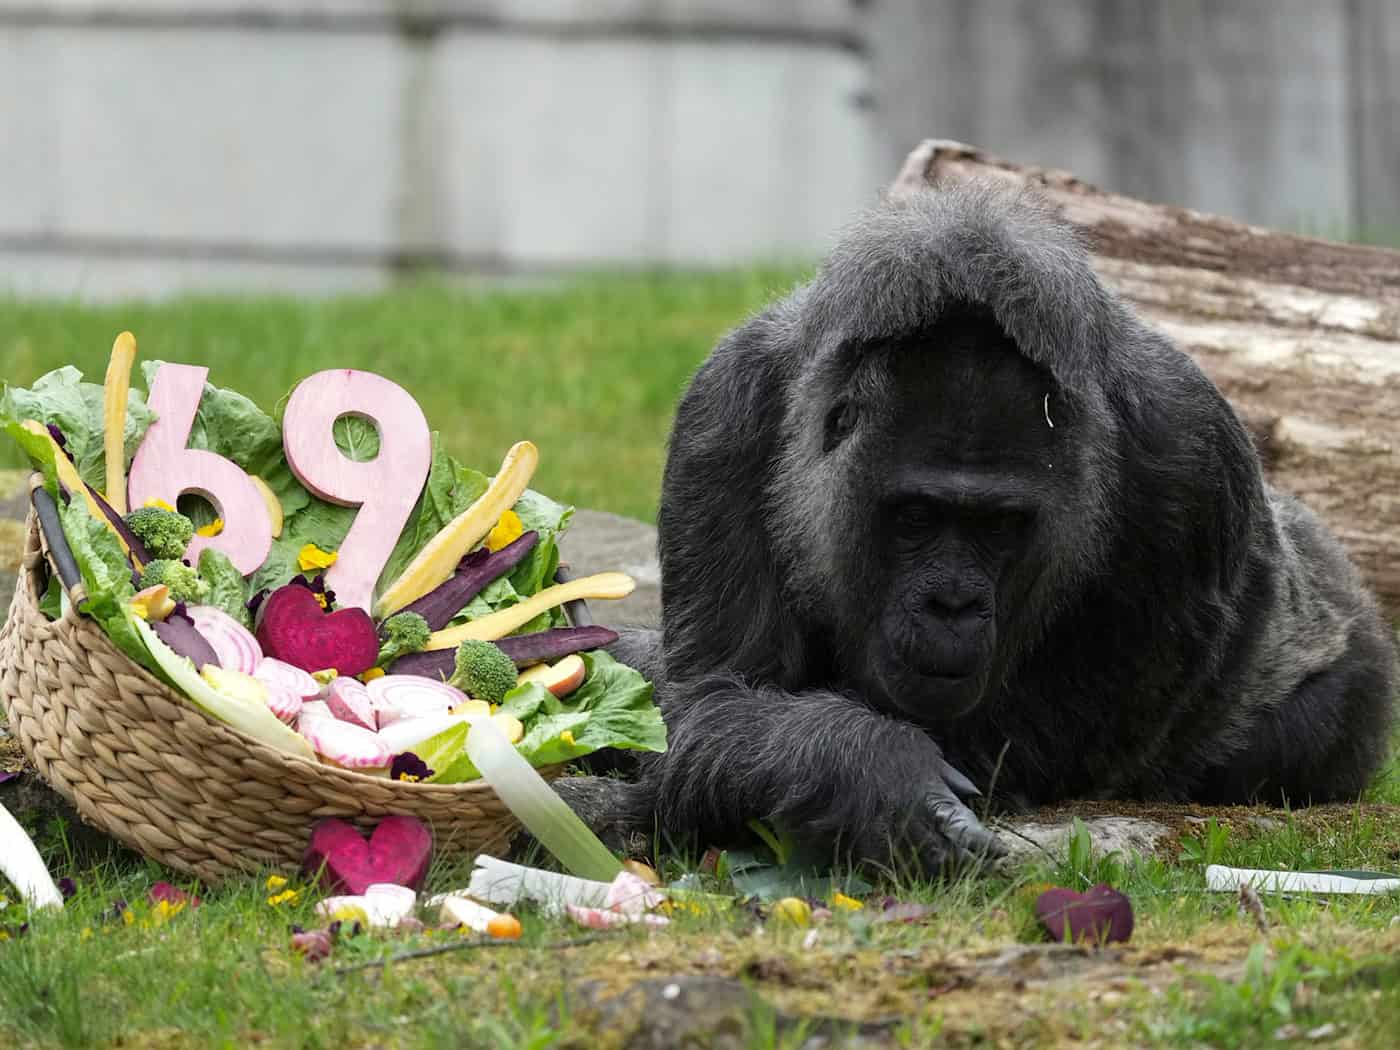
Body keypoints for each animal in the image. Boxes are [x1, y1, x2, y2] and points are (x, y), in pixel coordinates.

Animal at [560, 180, 1397, 873]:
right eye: (915, 518)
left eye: (999, 526)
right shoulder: (725, 409)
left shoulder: (1190, 451)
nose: (952, 605)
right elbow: (716, 701)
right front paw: (859, 770)